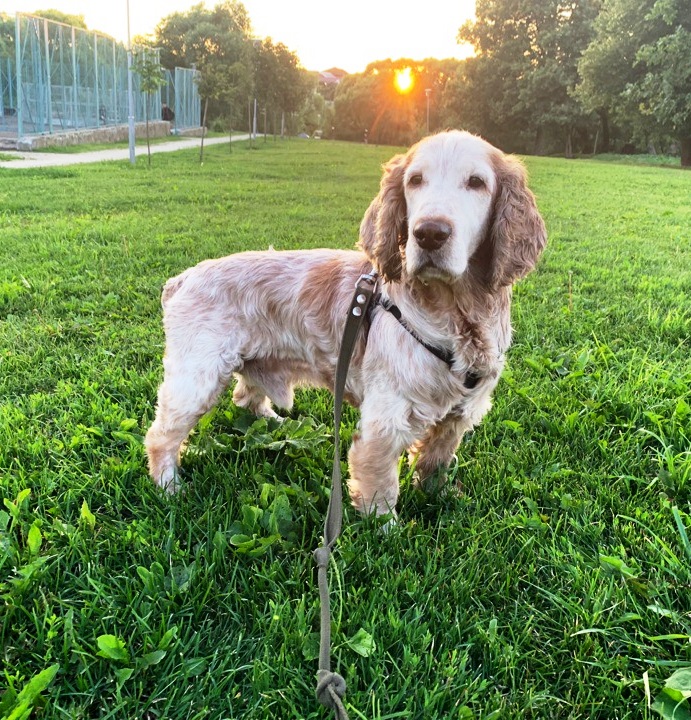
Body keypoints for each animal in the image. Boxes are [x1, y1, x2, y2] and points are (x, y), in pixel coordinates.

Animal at [144, 130, 547, 516]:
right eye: (415, 180)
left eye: (477, 182)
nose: (429, 233)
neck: (455, 314)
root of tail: (182, 278)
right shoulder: (385, 421)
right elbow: (380, 489)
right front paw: (387, 529)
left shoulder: (460, 414)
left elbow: (436, 462)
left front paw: (440, 496)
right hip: (196, 381)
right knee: (161, 436)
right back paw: (169, 487)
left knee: (246, 398)